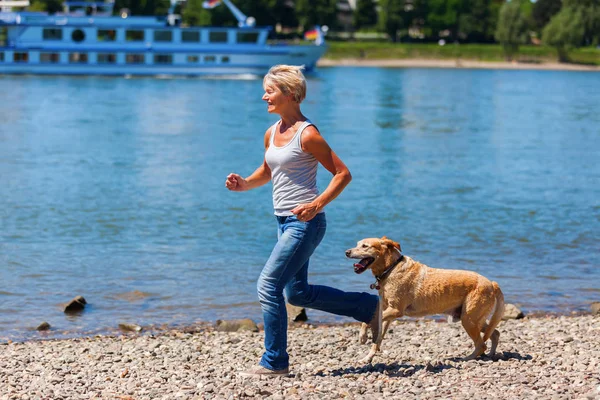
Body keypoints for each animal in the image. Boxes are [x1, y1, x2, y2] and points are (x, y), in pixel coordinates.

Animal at [344, 236, 504, 364]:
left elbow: (366, 321)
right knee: (494, 333)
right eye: (357, 244)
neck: (391, 269)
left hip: (469, 319)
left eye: (365, 246)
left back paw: (467, 358)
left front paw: (362, 337)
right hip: (473, 319)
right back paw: (491, 354)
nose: (347, 252)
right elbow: (377, 341)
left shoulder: (395, 310)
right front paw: (367, 358)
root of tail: (492, 283)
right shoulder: (386, 314)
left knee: (481, 344)